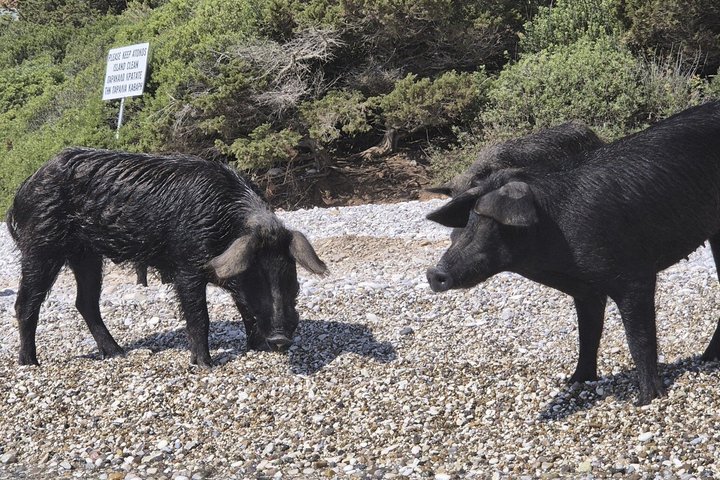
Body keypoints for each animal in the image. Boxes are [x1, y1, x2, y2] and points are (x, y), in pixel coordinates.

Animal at [7, 147, 328, 367]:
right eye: (257, 275)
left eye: (290, 276)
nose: (280, 340)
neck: (224, 224)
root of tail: (22, 189)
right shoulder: (186, 265)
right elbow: (199, 316)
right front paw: (206, 365)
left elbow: (243, 307)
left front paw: (257, 348)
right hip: (42, 245)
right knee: (26, 303)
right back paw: (30, 363)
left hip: (87, 255)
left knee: (85, 303)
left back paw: (118, 353)